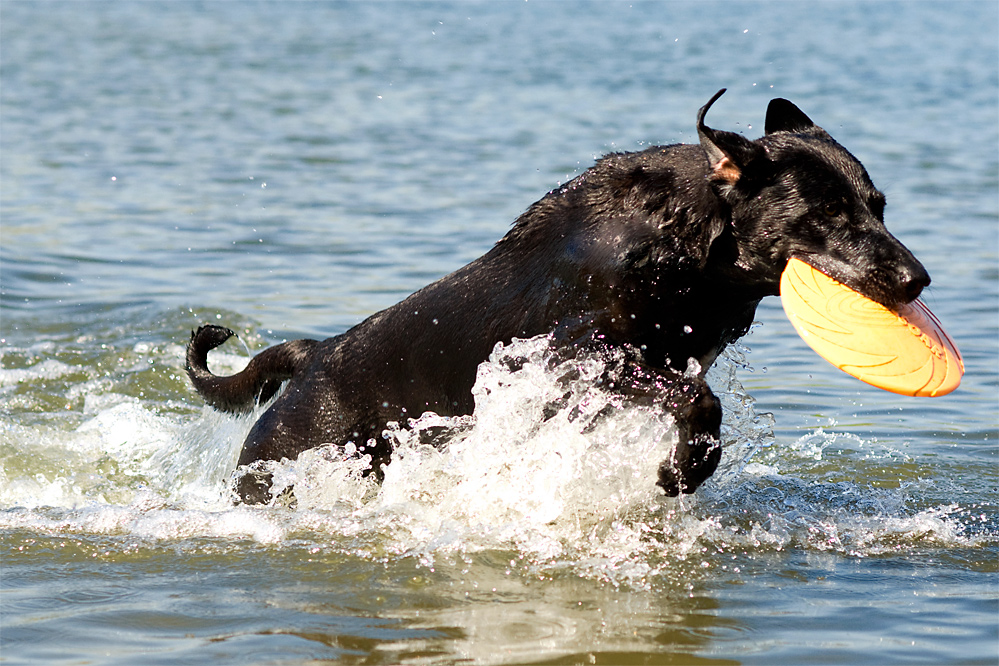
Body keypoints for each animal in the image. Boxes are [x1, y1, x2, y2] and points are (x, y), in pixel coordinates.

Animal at [186, 89, 928, 504]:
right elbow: (700, 404)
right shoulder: (580, 355)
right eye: (826, 214)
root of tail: (314, 356)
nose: (917, 279)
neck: (687, 247)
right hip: (279, 464)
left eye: (878, 206)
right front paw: (679, 473)